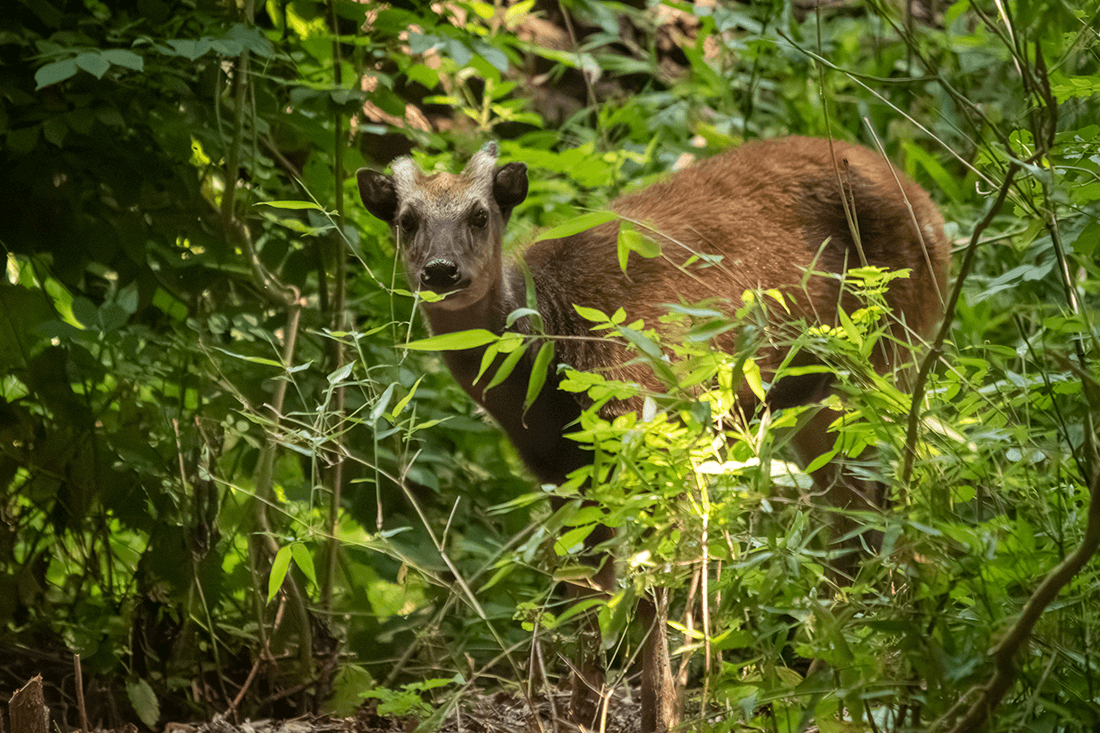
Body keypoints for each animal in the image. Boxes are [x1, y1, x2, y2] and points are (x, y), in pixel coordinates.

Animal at [356, 136, 950, 732]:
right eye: (407, 220)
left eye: (480, 215)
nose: (441, 270)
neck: (545, 361)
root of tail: (929, 207)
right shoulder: (561, 472)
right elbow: (586, 594)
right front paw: (583, 716)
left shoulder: (652, 419)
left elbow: (651, 590)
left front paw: (662, 712)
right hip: (814, 393)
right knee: (853, 519)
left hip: (884, 352)